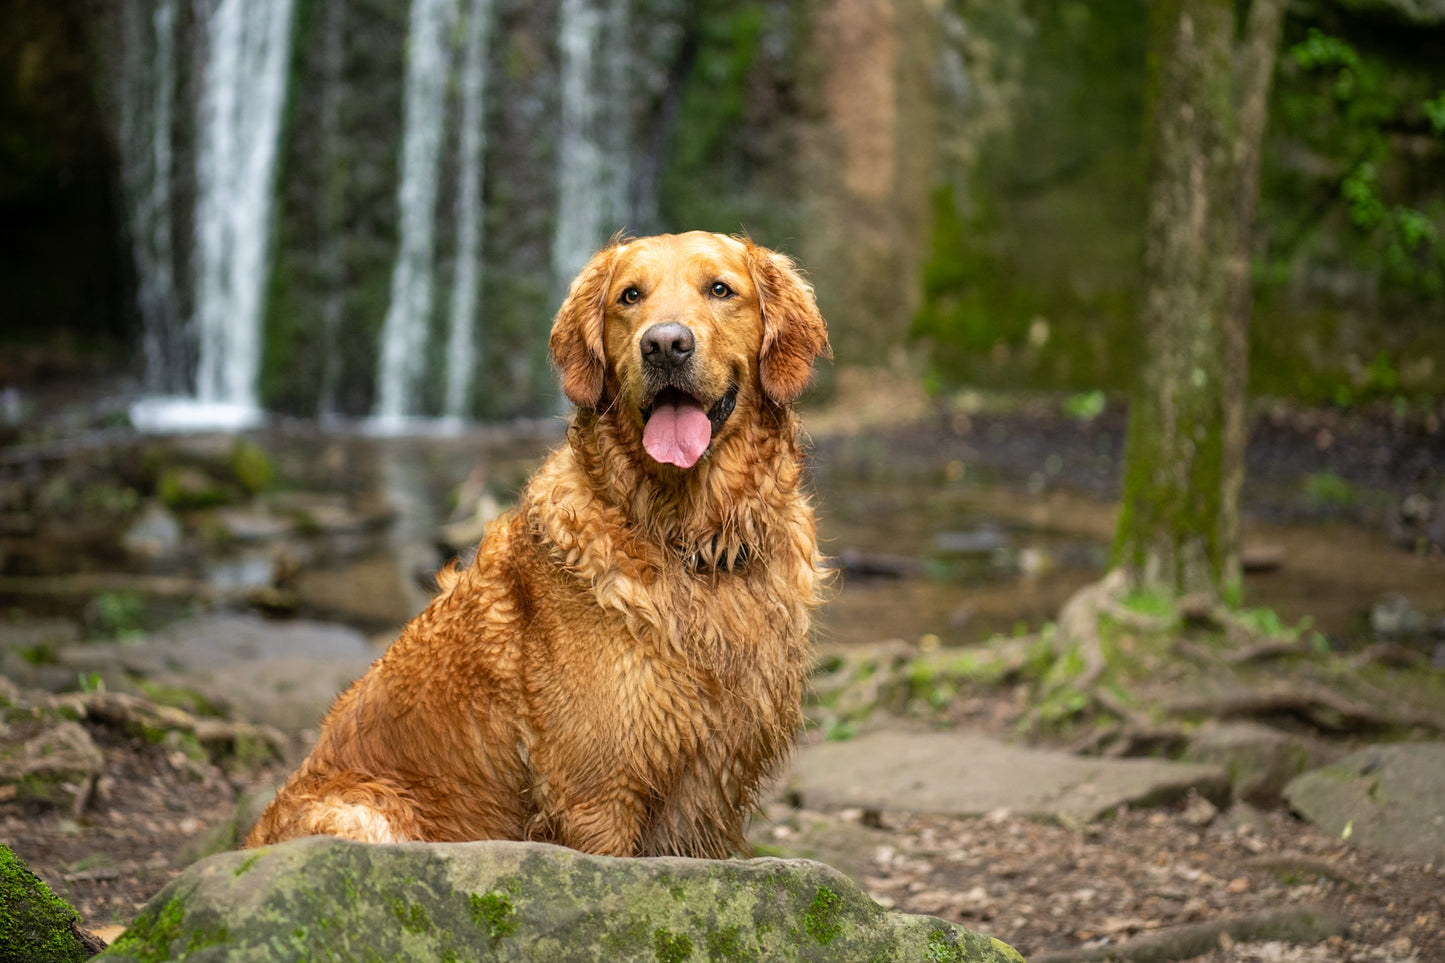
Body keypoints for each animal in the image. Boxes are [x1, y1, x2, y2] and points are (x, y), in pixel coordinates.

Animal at [245, 231, 838, 856]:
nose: (665, 345)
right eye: (630, 296)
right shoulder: (598, 798)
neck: (687, 539)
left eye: (720, 289)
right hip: (362, 817)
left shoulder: (707, 796)